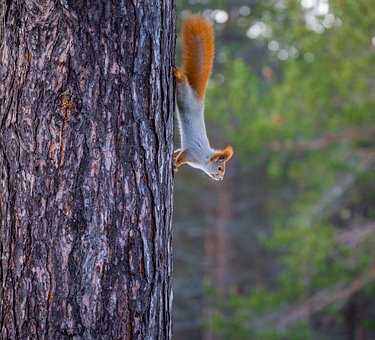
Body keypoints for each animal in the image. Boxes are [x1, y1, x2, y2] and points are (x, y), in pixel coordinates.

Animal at [174, 15, 234, 181]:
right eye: (220, 168)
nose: (221, 178)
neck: (204, 158)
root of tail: (197, 97)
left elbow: (179, 152)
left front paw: (173, 156)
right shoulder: (192, 153)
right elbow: (181, 158)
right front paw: (175, 165)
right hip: (185, 94)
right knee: (182, 80)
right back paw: (176, 73)